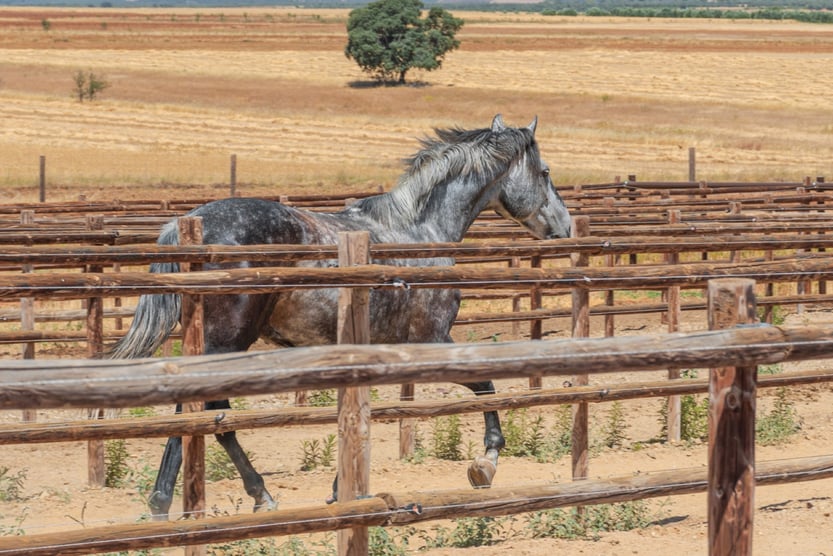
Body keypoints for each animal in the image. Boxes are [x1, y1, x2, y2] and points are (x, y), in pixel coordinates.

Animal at [105, 115, 572, 520]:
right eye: (545, 172)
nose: (565, 227)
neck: (419, 230)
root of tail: (189, 223)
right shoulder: (431, 337)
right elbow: (485, 385)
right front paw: (485, 463)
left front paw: (338, 488)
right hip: (226, 341)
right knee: (201, 408)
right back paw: (170, 502)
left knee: (212, 414)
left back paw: (252, 495)